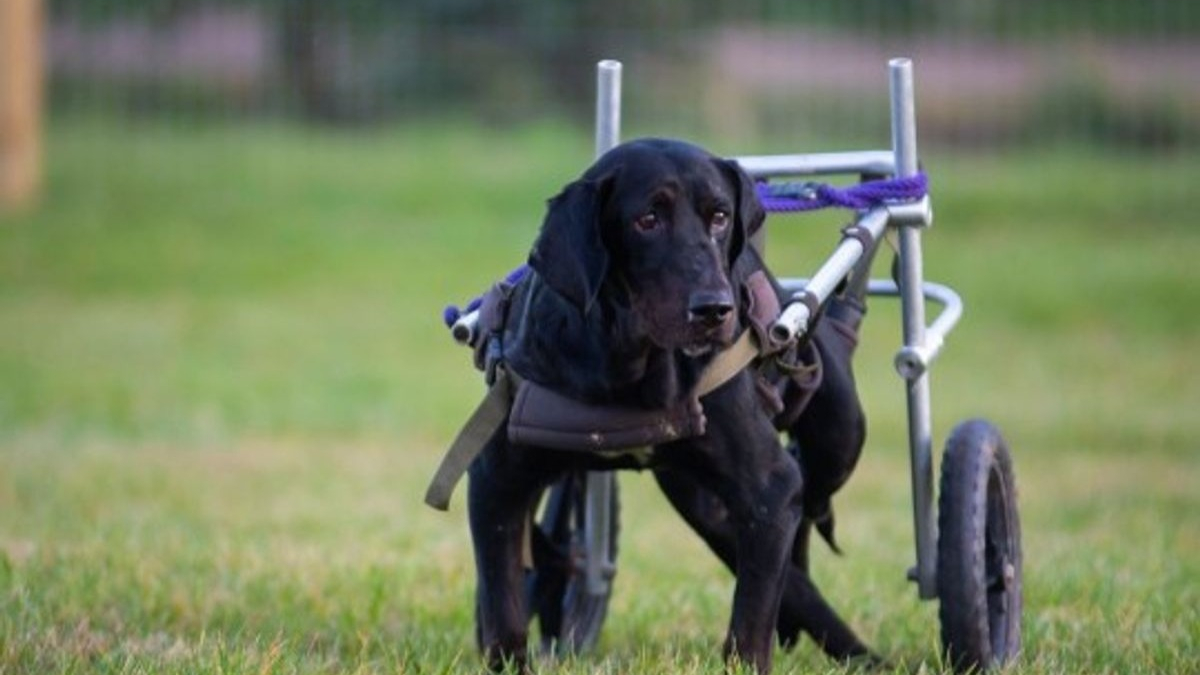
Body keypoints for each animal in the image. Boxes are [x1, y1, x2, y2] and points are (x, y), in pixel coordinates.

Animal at [465, 139, 873, 667]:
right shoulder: (495, 480)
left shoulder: (770, 485)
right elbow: (503, 608)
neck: (630, 368)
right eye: (647, 220)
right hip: (703, 502)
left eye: (719, 216)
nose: (714, 309)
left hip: (837, 439)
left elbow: (751, 619)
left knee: (806, 512)